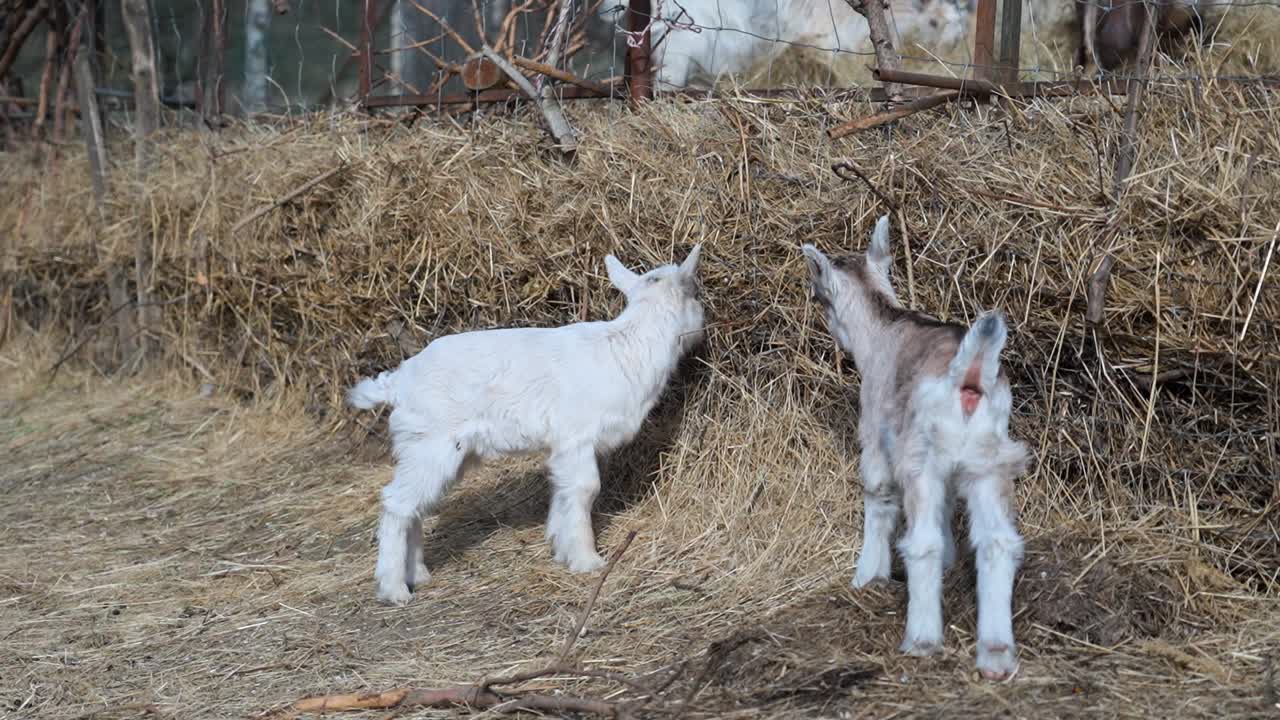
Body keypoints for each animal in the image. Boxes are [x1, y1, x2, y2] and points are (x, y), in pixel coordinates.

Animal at [348, 247, 706, 606]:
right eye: (695, 294)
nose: (704, 324)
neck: (629, 348)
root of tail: (398, 382)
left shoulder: (562, 448)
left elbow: (563, 489)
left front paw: (561, 546)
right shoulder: (576, 438)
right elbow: (586, 488)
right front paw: (587, 559)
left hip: (431, 449)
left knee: (417, 507)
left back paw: (418, 574)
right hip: (431, 444)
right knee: (397, 503)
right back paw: (394, 589)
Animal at [801, 217, 1030, 680]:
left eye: (821, 298)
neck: (884, 327)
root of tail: (969, 374)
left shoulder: (875, 434)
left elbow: (878, 497)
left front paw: (867, 578)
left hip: (921, 458)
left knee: (922, 540)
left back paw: (922, 640)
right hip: (990, 461)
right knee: (998, 542)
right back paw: (996, 654)